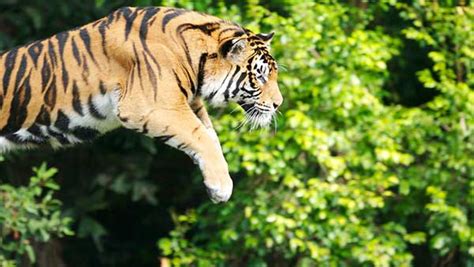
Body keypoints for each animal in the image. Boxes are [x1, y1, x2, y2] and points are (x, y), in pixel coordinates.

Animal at [0, 6, 282, 203]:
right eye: (260, 76)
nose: (278, 104)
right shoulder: (152, 105)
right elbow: (201, 136)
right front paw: (221, 187)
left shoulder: (188, 102)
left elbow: (209, 136)